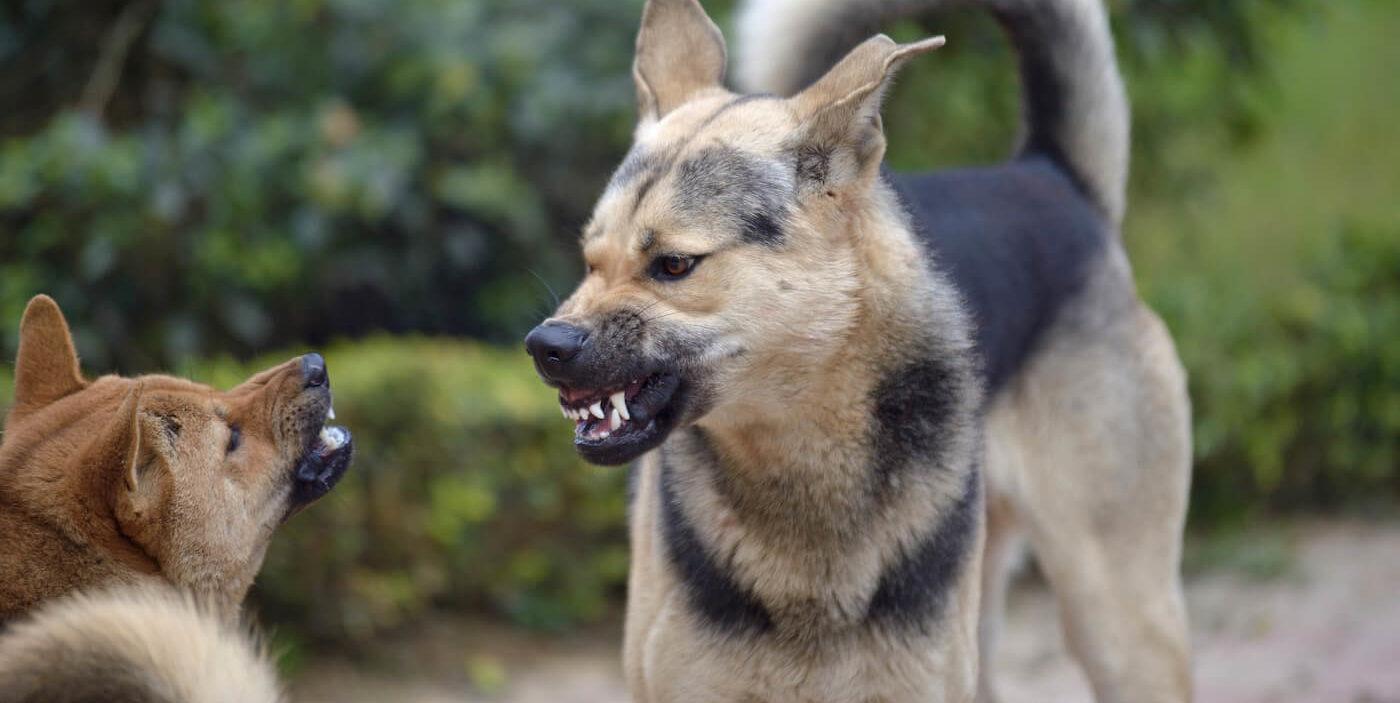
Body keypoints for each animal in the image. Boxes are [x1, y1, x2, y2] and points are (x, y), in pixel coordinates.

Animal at [526, 0, 1192, 700]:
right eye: (589, 261)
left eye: (674, 265)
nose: (544, 346)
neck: (801, 456)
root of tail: (1051, 176)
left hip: (1119, 618)